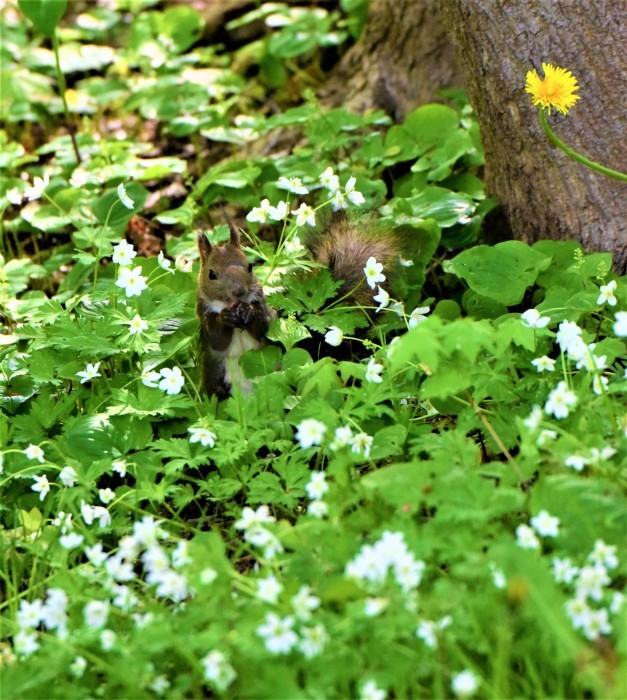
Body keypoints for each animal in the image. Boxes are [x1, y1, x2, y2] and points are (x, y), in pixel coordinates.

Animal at [196, 211, 400, 400]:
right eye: (211, 274)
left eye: (249, 267)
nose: (239, 291)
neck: (233, 305)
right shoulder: (205, 318)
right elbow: (217, 339)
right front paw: (224, 318)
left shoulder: (264, 310)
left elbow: (263, 328)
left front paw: (249, 313)